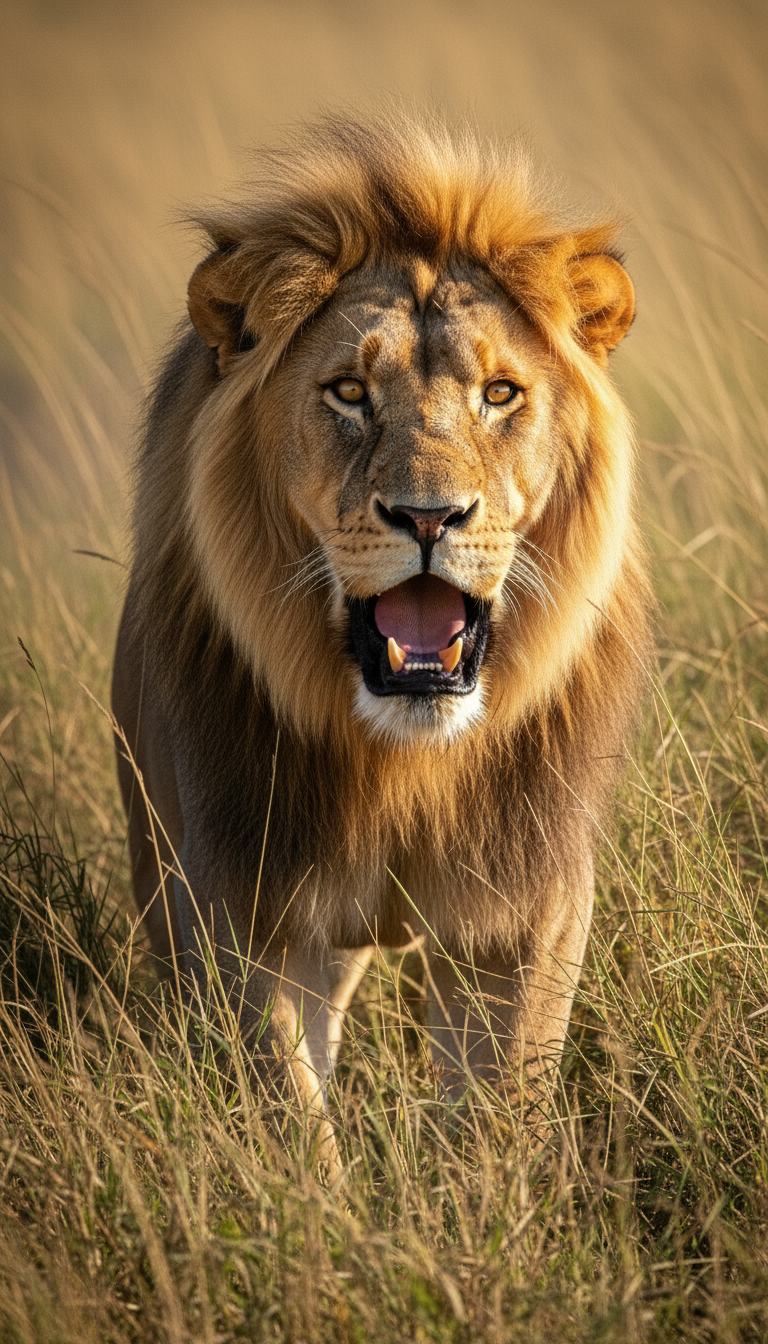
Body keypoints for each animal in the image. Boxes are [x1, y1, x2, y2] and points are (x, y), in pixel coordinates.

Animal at [112, 113, 651, 1167]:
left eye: (499, 394)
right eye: (350, 392)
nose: (429, 516)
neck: (404, 764)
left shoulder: (526, 912)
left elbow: (498, 1120)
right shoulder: (235, 904)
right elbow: (287, 1114)